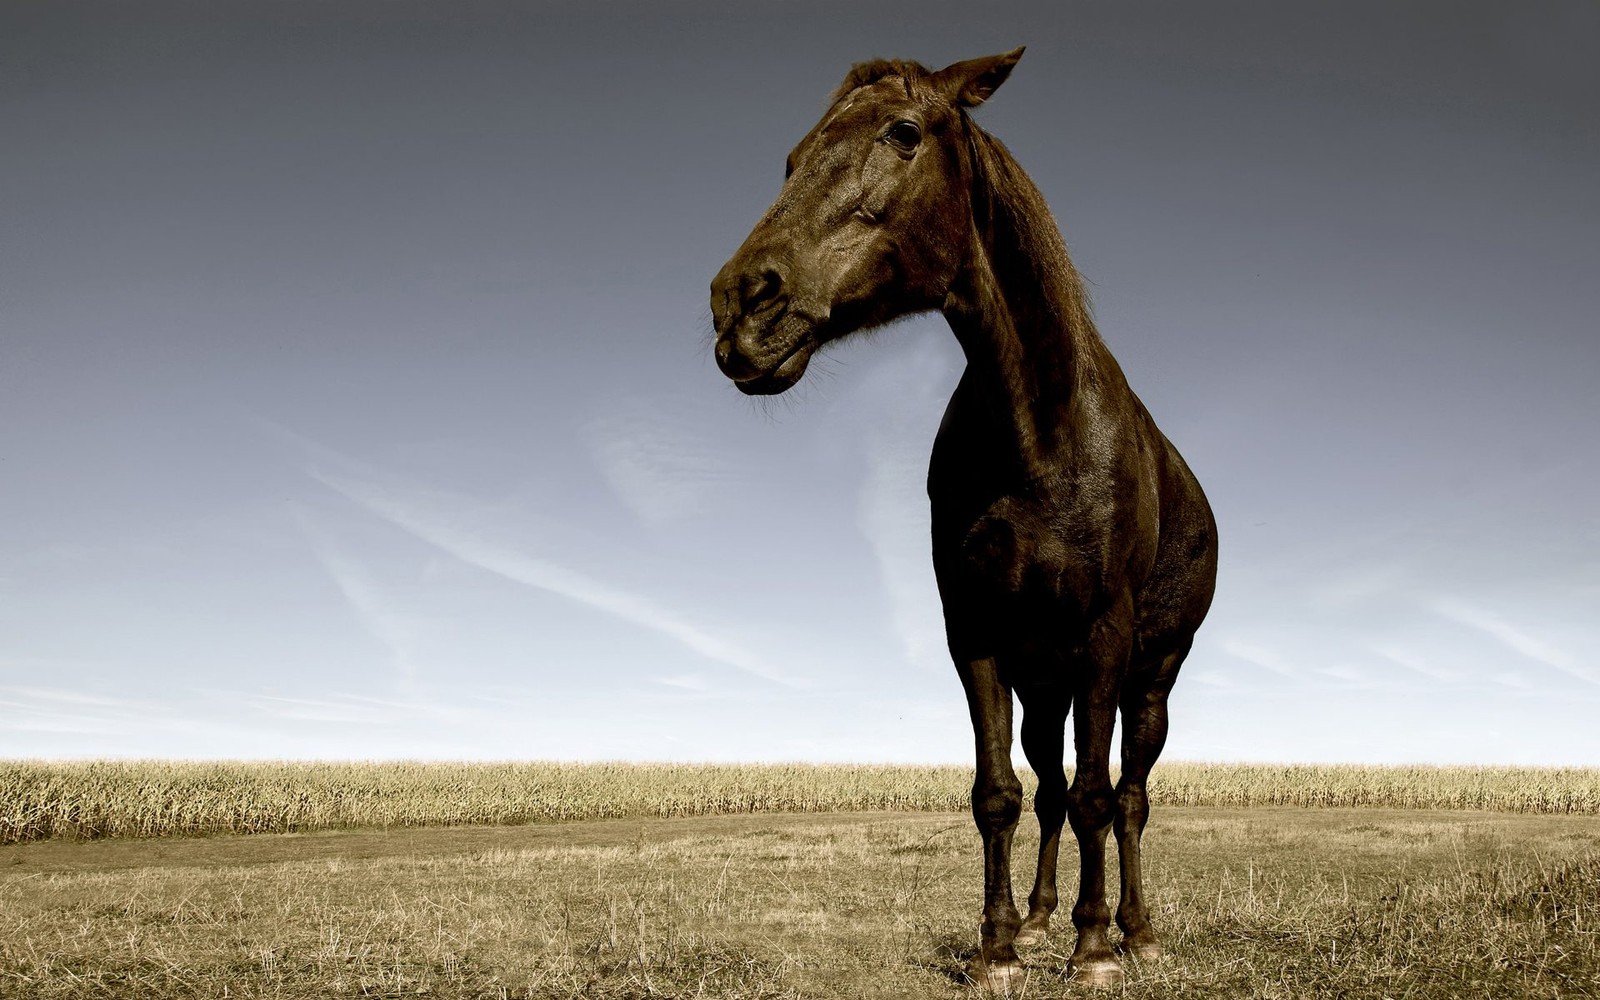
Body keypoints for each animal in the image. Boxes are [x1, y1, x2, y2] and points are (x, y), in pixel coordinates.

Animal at [707, 48, 1216, 992]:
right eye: (792, 159)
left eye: (903, 133)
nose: (741, 305)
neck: (1041, 431)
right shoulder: (975, 633)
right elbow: (999, 794)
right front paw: (1000, 948)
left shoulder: (1104, 636)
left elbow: (1099, 795)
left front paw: (1094, 953)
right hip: (1044, 683)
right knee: (1050, 789)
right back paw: (1050, 917)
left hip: (1152, 677)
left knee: (1128, 796)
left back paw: (1134, 930)